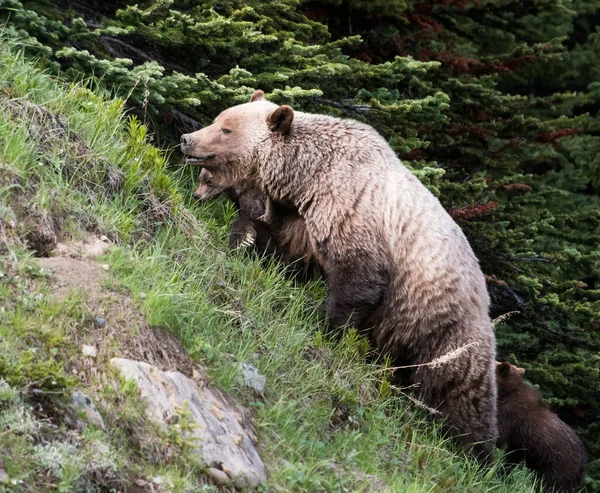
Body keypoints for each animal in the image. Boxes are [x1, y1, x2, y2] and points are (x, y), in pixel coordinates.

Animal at [182, 89, 496, 458]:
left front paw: (329, 329)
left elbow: (356, 280)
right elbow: (282, 248)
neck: (307, 178)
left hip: (442, 325)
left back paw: (473, 447)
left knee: (458, 392)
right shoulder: (302, 218)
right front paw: (244, 237)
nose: (187, 138)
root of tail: (486, 300)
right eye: (219, 118)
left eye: (226, 129)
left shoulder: (352, 212)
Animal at [496, 360, 584, 490]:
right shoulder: (517, 442)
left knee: (548, 484)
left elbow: (499, 433)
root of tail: (582, 467)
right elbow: (511, 457)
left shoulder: (512, 414)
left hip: (557, 466)